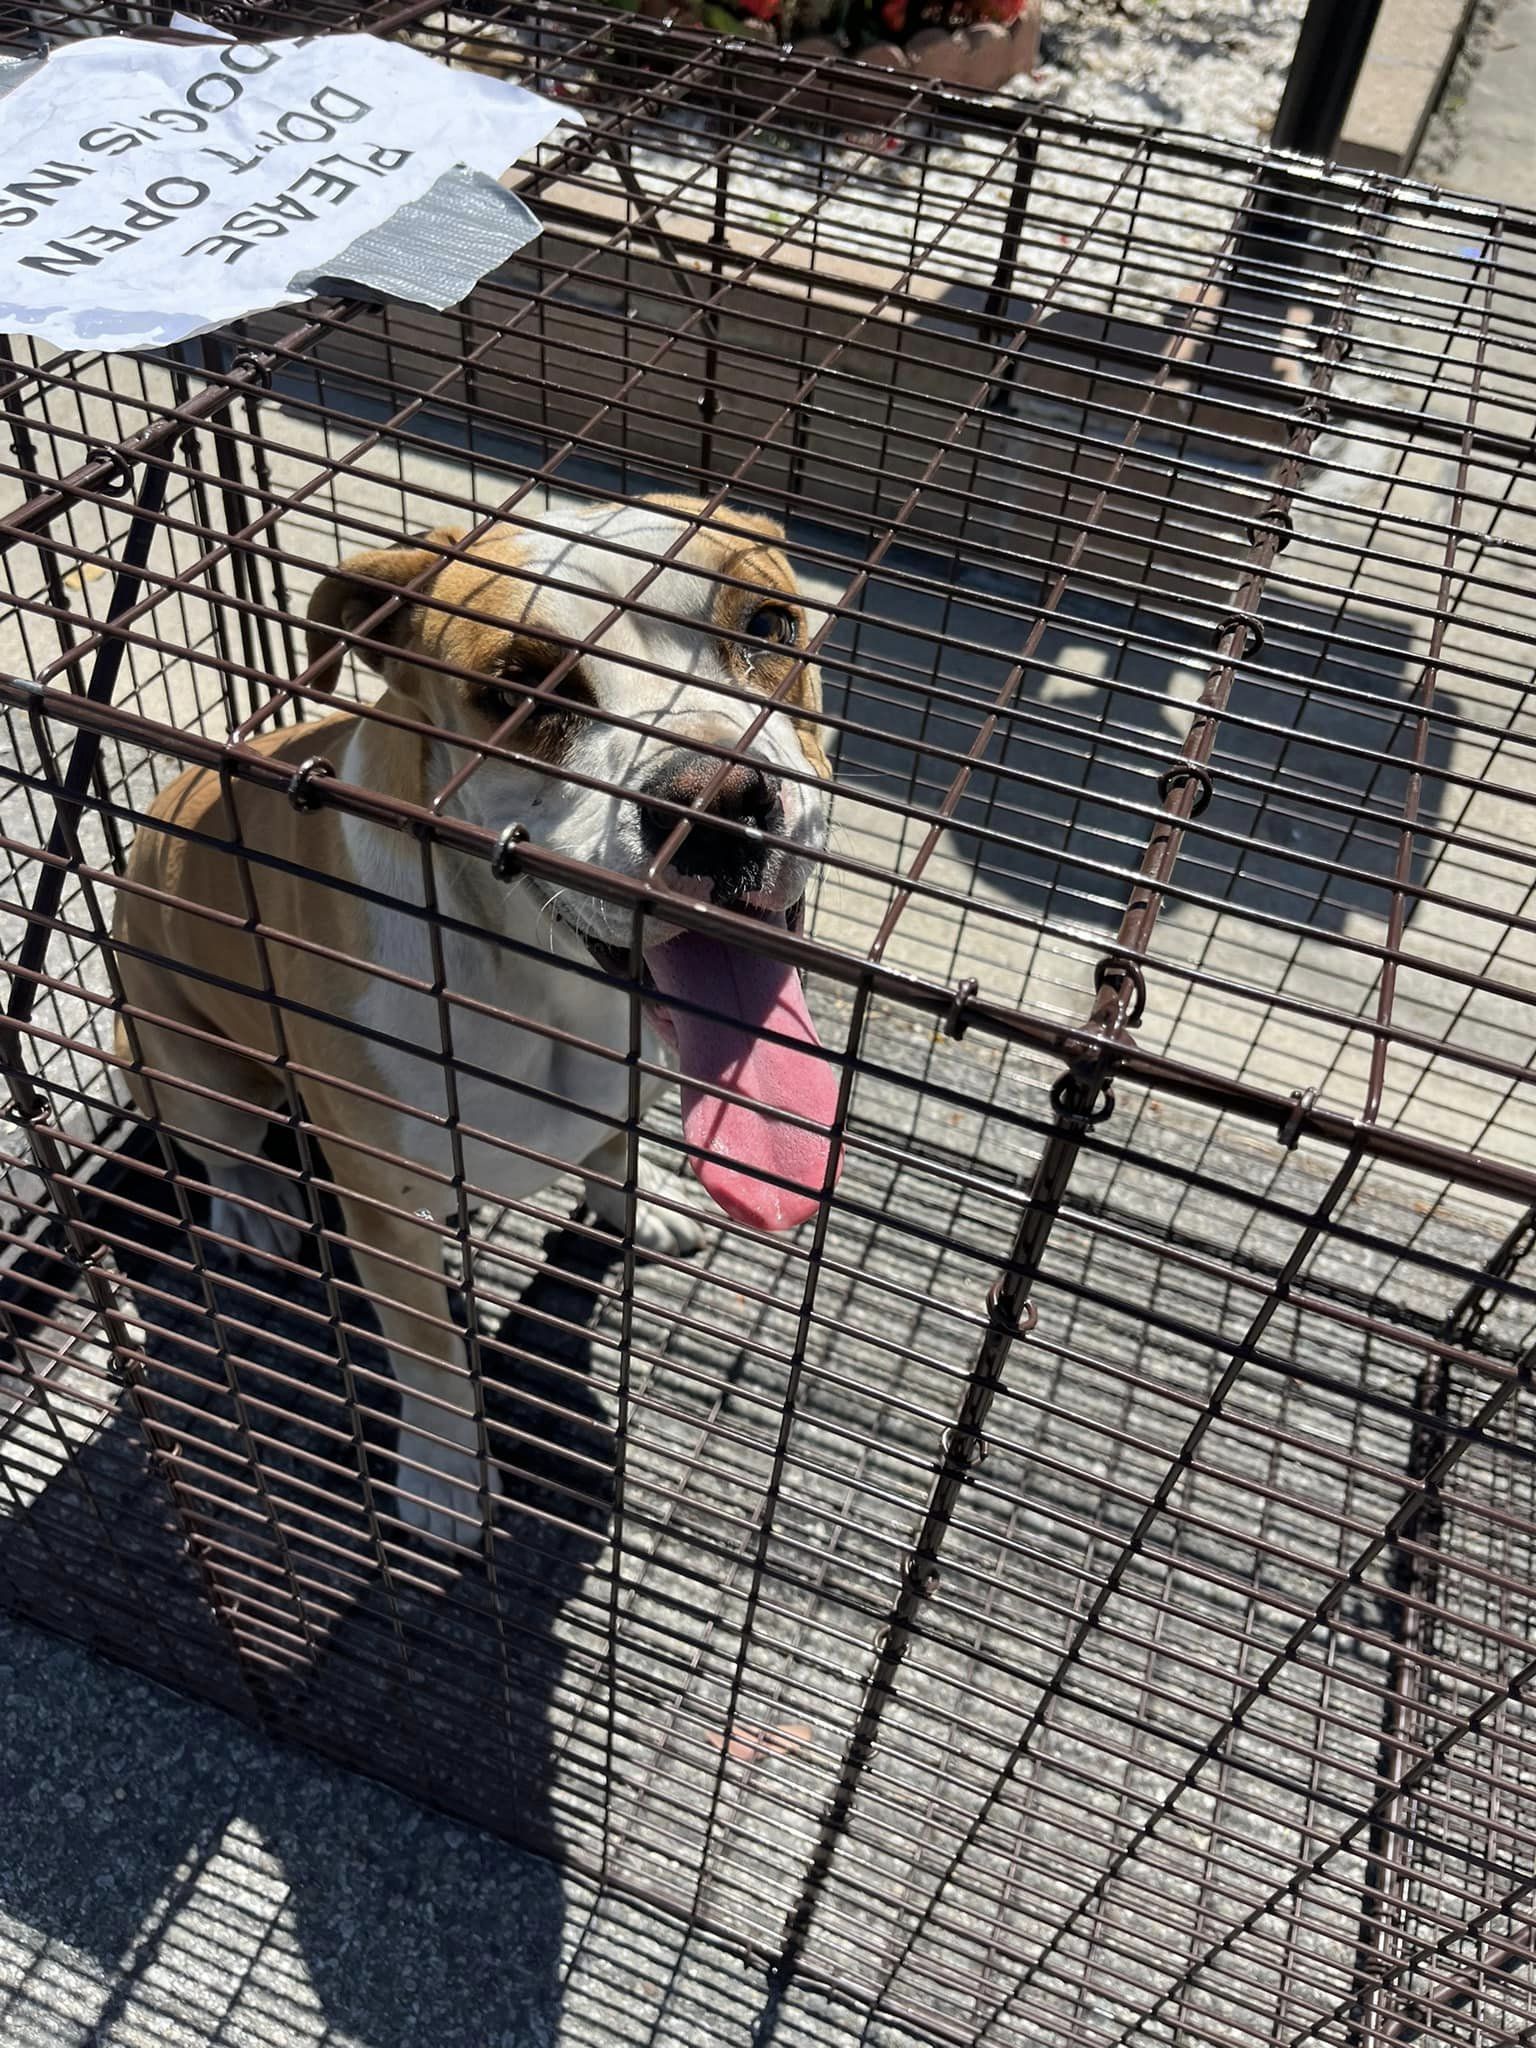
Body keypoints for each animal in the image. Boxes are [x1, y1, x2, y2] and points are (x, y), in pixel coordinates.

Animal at [111, 499, 843, 1548]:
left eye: (770, 625)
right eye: (519, 688)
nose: (718, 803)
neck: (540, 981)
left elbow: (612, 1155)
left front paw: (645, 1204)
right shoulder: (383, 1210)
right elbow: (429, 1355)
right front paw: (445, 1477)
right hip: (184, 1057)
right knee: (216, 1145)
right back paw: (255, 1203)